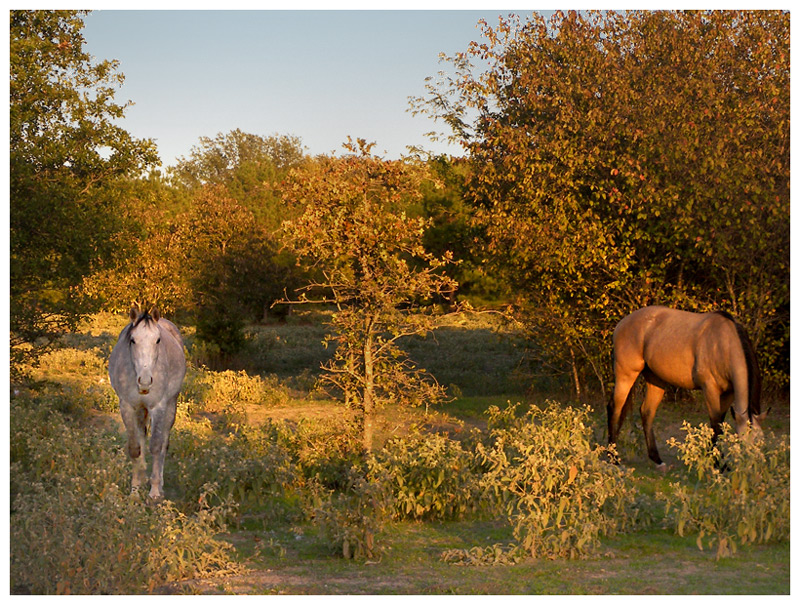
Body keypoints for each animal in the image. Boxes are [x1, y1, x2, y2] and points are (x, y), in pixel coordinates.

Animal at [108, 306, 186, 500]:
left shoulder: (158, 407)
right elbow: (135, 448)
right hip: (140, 410)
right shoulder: (127, 407)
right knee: (142, 435)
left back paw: (160, 484)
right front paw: (135, 490)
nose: (144, 382)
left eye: (157, 340)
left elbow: (156, 446)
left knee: (164, 442)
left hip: (171, 406)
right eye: (133, 340)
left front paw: (155, 492)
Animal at [608, 306, 764, 468]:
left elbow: (720, 424)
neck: (723, 344)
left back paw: (657, 460)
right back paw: (614, 458)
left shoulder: (728, 394)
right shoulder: (710, 389)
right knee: (615, 409)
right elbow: (715, 424)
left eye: (761, 443)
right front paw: (717, 463)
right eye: (743, 442)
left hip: (655, 380)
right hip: (626, 375)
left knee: (647, 412)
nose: (752, 468)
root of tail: (622, 324)